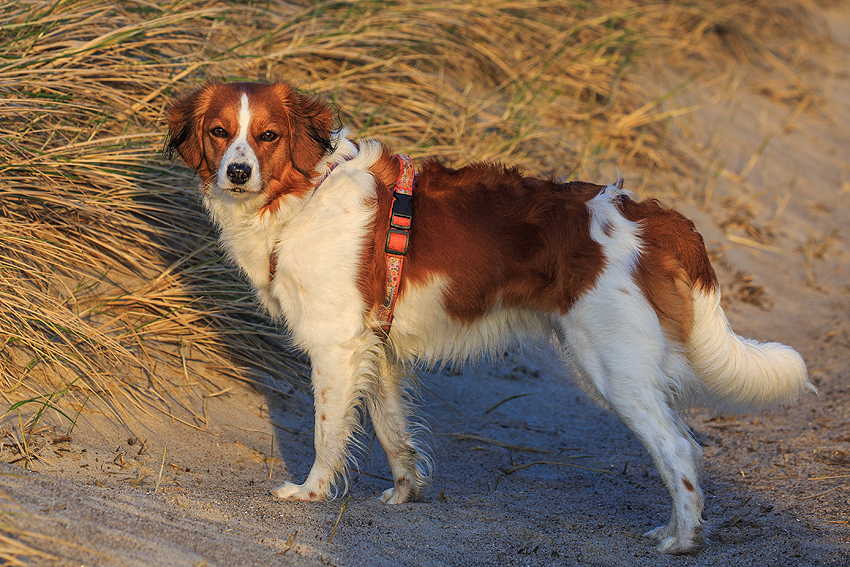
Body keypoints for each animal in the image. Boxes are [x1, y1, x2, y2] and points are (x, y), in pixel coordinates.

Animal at [164, 81, 808, 556]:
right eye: (220, 133)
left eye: (267, 136)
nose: (237, 172)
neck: (302, 196)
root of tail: (655, 216)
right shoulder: (376, 349)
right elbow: (393, 431)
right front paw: (405, 495)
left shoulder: (336, 346)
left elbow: (328, 432)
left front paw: (311, 491)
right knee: (683, 446)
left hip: (612, 365)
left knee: (679, 451)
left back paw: (683, 540)